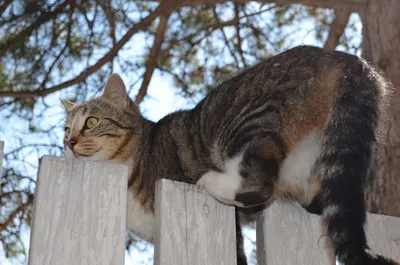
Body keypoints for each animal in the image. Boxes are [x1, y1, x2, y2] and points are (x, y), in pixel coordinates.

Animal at [61, 45, 398, 264]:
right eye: (65, 130)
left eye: (91, 123)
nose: (69, 143)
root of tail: (349, 60)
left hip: (249, 120)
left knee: (259, 183)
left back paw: (214, 182)